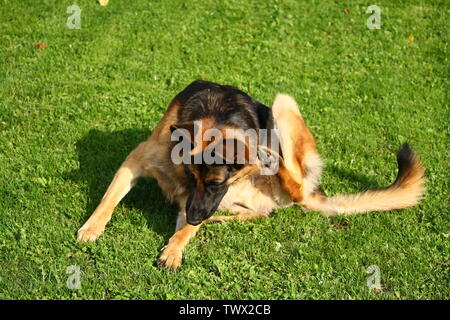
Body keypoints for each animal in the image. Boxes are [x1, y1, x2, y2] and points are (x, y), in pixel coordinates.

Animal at [77, 79, 426, 268]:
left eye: (217, 182)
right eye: (192, 178)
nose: (195, 216)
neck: (216, 115)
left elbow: (183, 231)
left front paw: (175, 248)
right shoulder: (138, 161)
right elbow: (108, 199)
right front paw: (92, 227)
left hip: (283, 107)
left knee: (293, 185)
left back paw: (270, 157)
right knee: (260, 214)